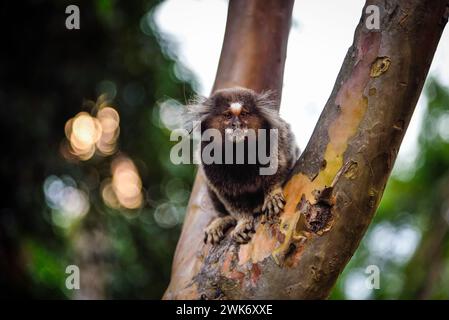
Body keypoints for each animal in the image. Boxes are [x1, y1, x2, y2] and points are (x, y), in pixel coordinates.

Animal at [186, 87, 298, 245]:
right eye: (227, 116)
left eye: (244, 114)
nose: (236, 125)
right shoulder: (206, 158)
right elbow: (228, 197)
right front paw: (243, 221)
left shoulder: (276, 140)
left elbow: (282, 164)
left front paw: (272, 195)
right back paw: (223, 220)